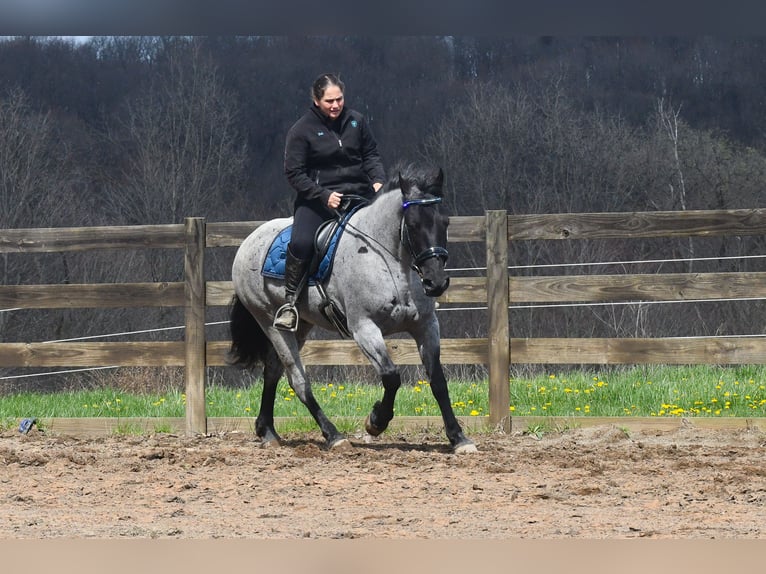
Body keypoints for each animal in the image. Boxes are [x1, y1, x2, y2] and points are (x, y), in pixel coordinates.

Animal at [228, 163, 477, 454]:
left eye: (445, 222)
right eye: (413, 225)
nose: (435, 282)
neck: (391, 263)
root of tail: (249, 240)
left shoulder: (425, 325)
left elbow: (437, 380)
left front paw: (459, 438)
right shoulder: (364, 328)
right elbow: (391, 376)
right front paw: (376, 422)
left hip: (301, 326)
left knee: (273, 370)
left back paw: (267, 430)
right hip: (270, 322)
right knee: (298, 380)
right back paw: (333, 435)